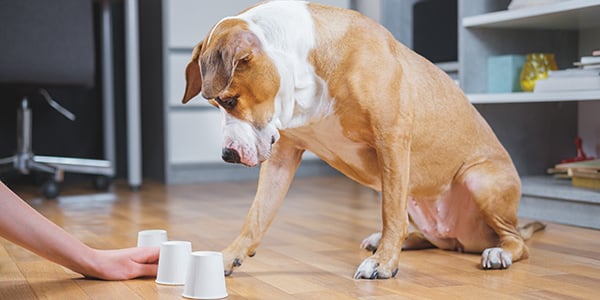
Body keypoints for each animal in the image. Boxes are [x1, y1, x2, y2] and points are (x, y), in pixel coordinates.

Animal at [182, 1, 540, 280]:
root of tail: (464, 239)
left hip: (479, 180)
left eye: (229, 100)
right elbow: (256, 215)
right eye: (216, 104)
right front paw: (228, 256)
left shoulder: (391, 139)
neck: (305, 66)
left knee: (516, 241)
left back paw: (498, 253)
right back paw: (395, 240)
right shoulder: (282, 156)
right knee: (431, 235)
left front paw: (383, 264)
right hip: (419, 198)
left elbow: (389, 212)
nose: (227, 154)